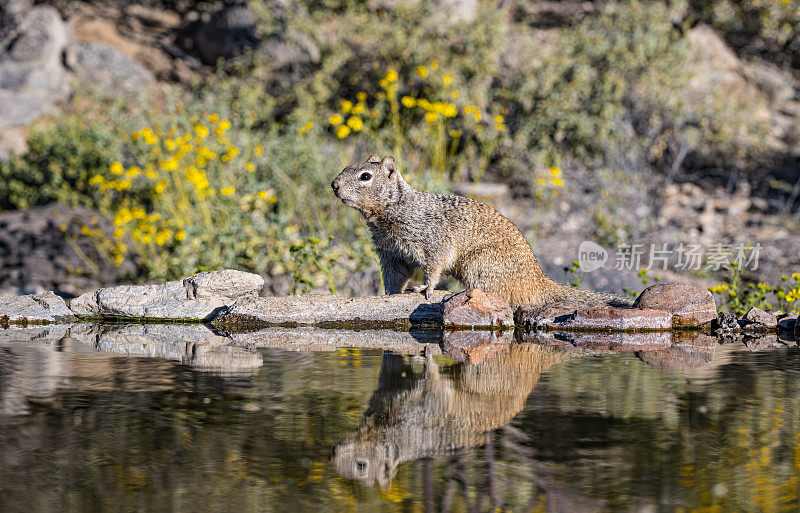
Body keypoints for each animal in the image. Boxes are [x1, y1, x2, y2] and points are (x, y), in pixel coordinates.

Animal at [332, 154, 624, 306]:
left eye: (365, 176)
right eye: (346, 167)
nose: (334, 185)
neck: (391, 212)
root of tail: (539, 282)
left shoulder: (433, 240)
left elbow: (435, 266)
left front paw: (425, 288)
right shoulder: (390, 253)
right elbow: (394, 278)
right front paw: (389, 295)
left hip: (480, 263)